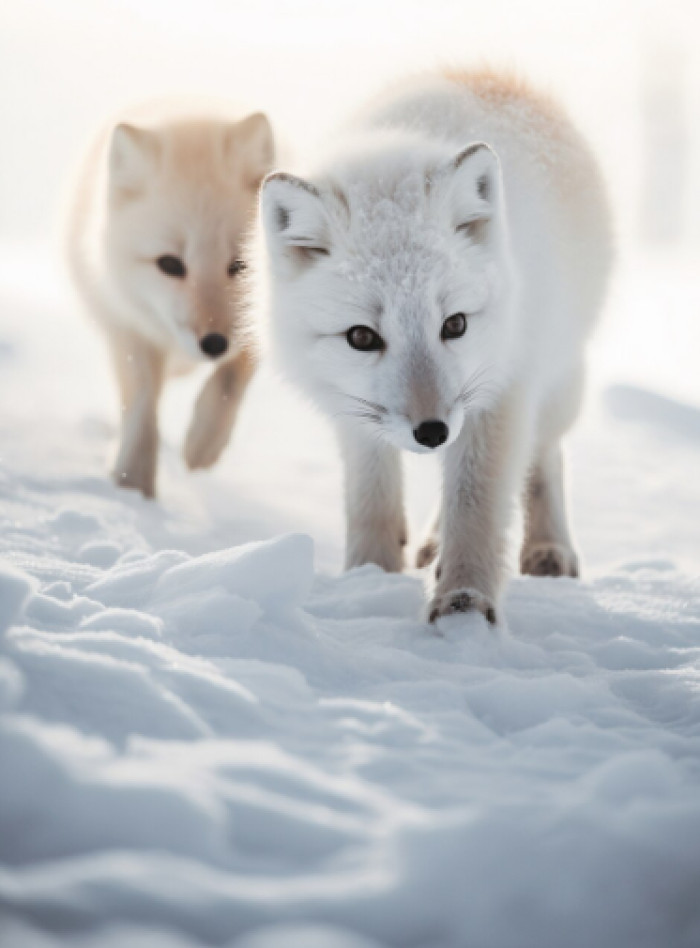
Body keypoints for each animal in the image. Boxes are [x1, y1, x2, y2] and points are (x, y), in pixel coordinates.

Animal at [66, 101, 274, 497]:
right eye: (170, 265)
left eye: (241, 264)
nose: (214, 344)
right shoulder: (126, 325)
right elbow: (142, 406)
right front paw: (133, 488)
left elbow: (230, 381)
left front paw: (203, 442)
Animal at [259, 69, 612, 624]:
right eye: (362, 337)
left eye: (455, 324)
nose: (431, 432)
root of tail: (490, 72)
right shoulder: (355, 413)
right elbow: (372, 502)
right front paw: (368, 579)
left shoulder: (501, 394)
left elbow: (476, 505)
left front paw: (464, 606)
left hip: (554, 380)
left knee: (544, 456)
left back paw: (548, 548)